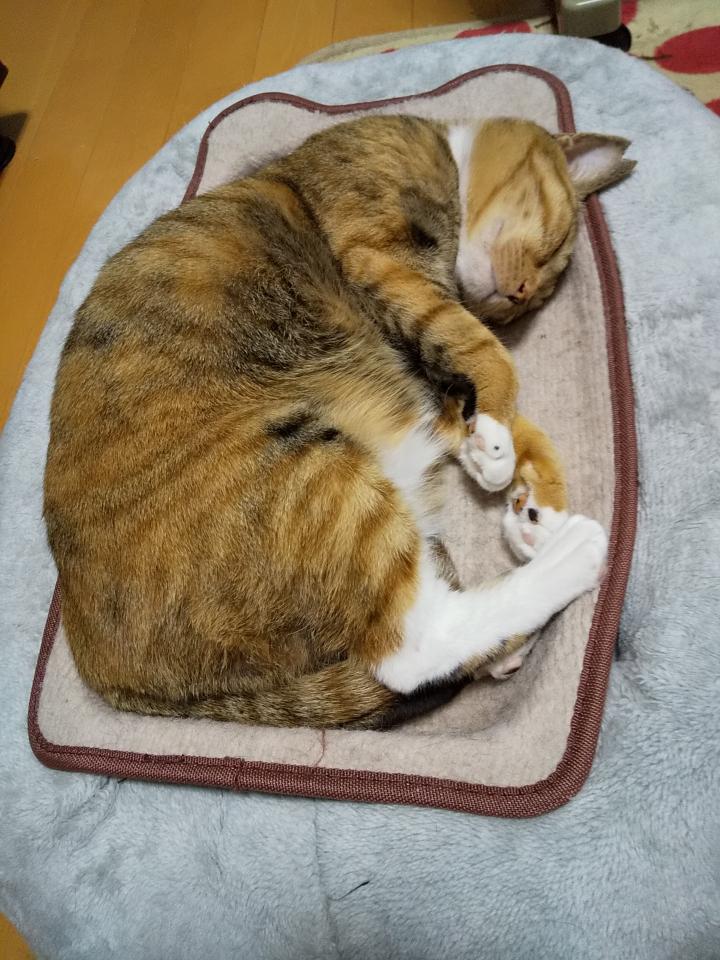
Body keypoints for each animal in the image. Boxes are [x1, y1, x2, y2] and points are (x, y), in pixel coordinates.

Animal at [44, 115, 634, 728]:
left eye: (534, 299)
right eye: (555, 245)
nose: (520, 296)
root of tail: (110, 677)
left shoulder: (429, 368)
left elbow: (509, 415)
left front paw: (529, 493)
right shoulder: (378, 255)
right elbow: (486, 354)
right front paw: (495, 446)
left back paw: (534, 546)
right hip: (308, 473)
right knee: (413, 647)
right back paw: (572, 556)